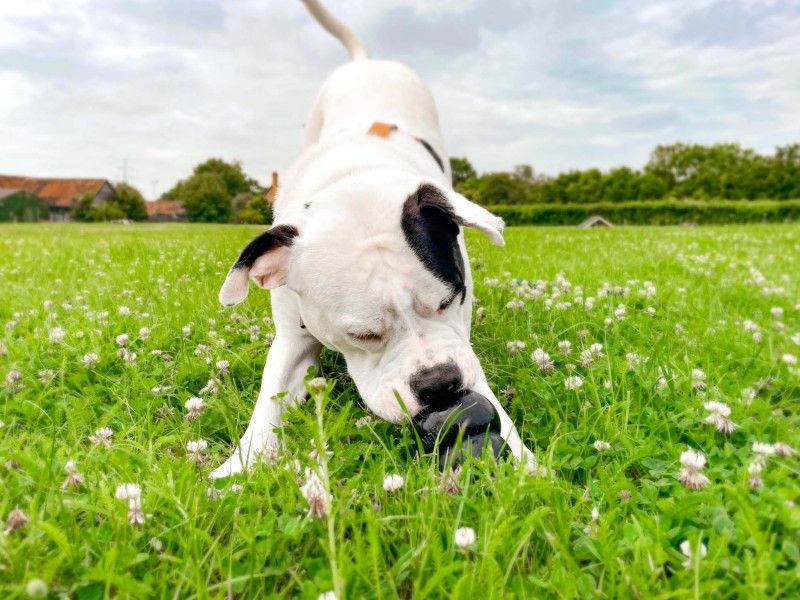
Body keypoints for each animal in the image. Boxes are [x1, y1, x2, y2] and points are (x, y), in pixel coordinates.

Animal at [211, 0, 536, 478]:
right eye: (362, 335)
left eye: (449, 300)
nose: (438, 383)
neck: (354, 177)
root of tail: (367, 62)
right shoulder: (292, 338)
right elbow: (269, 400)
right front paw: (239, 468)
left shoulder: (461, 346)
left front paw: (527, 467)